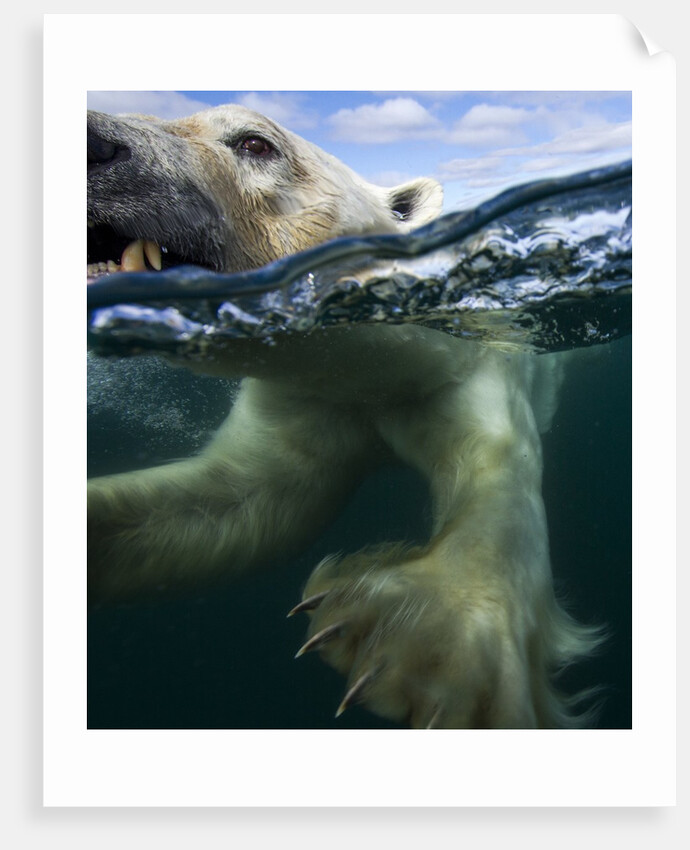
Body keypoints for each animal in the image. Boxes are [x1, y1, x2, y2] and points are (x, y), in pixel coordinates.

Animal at [87, 103, 603, 729]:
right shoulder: (308, 399)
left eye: (255, 142)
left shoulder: (469, 363)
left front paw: (419, 640)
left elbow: (496, 470)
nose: (94, 143)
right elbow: (233, 504)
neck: (371, 364)